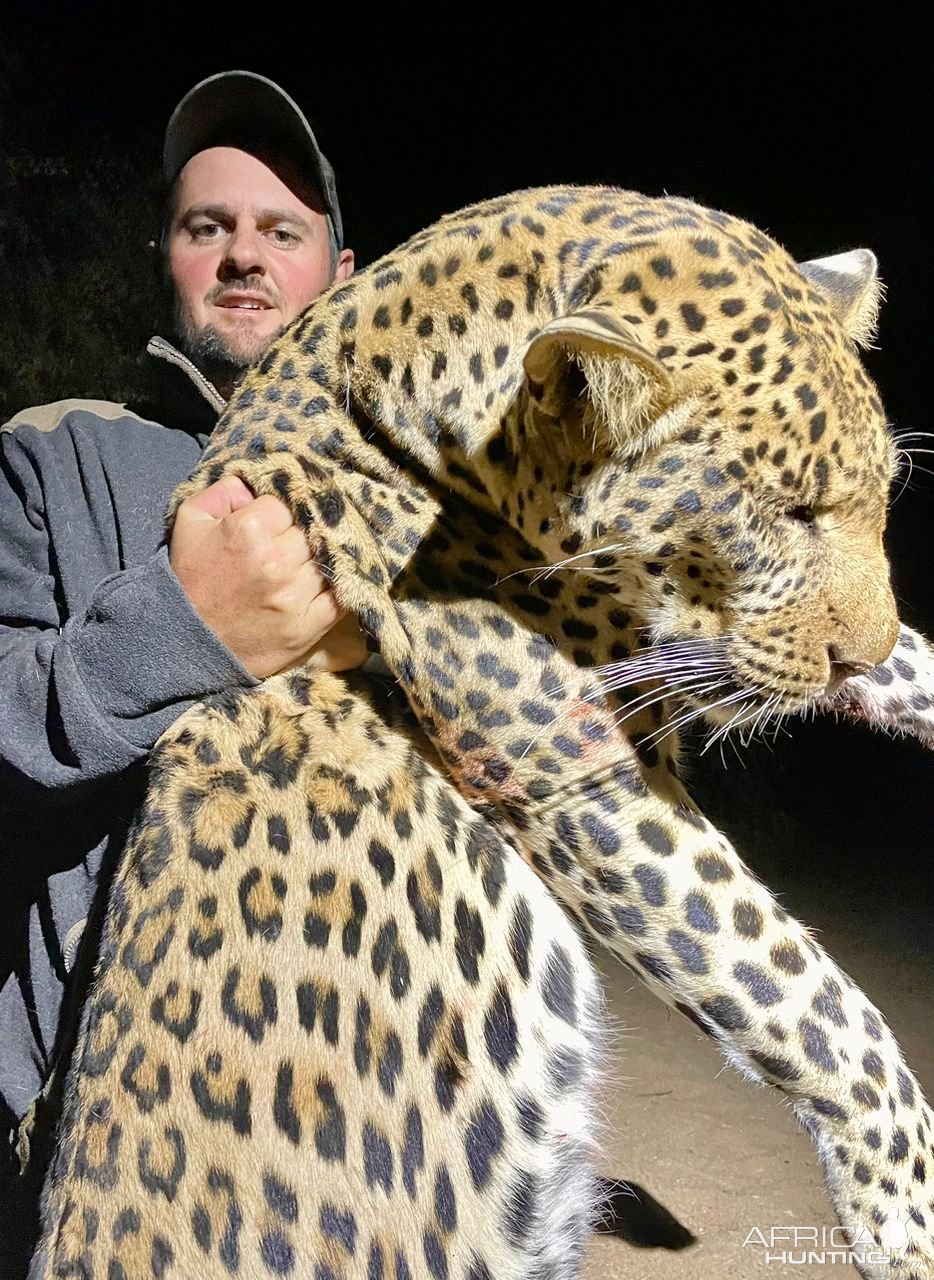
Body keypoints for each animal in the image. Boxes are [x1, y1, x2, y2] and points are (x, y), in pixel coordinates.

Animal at [29, 183, 931, 1280]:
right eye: (786, 511)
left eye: (878, 498)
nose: (850, 655)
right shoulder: (578, 765)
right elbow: (812, 1006)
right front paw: (902, 1211)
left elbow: (900, 655)